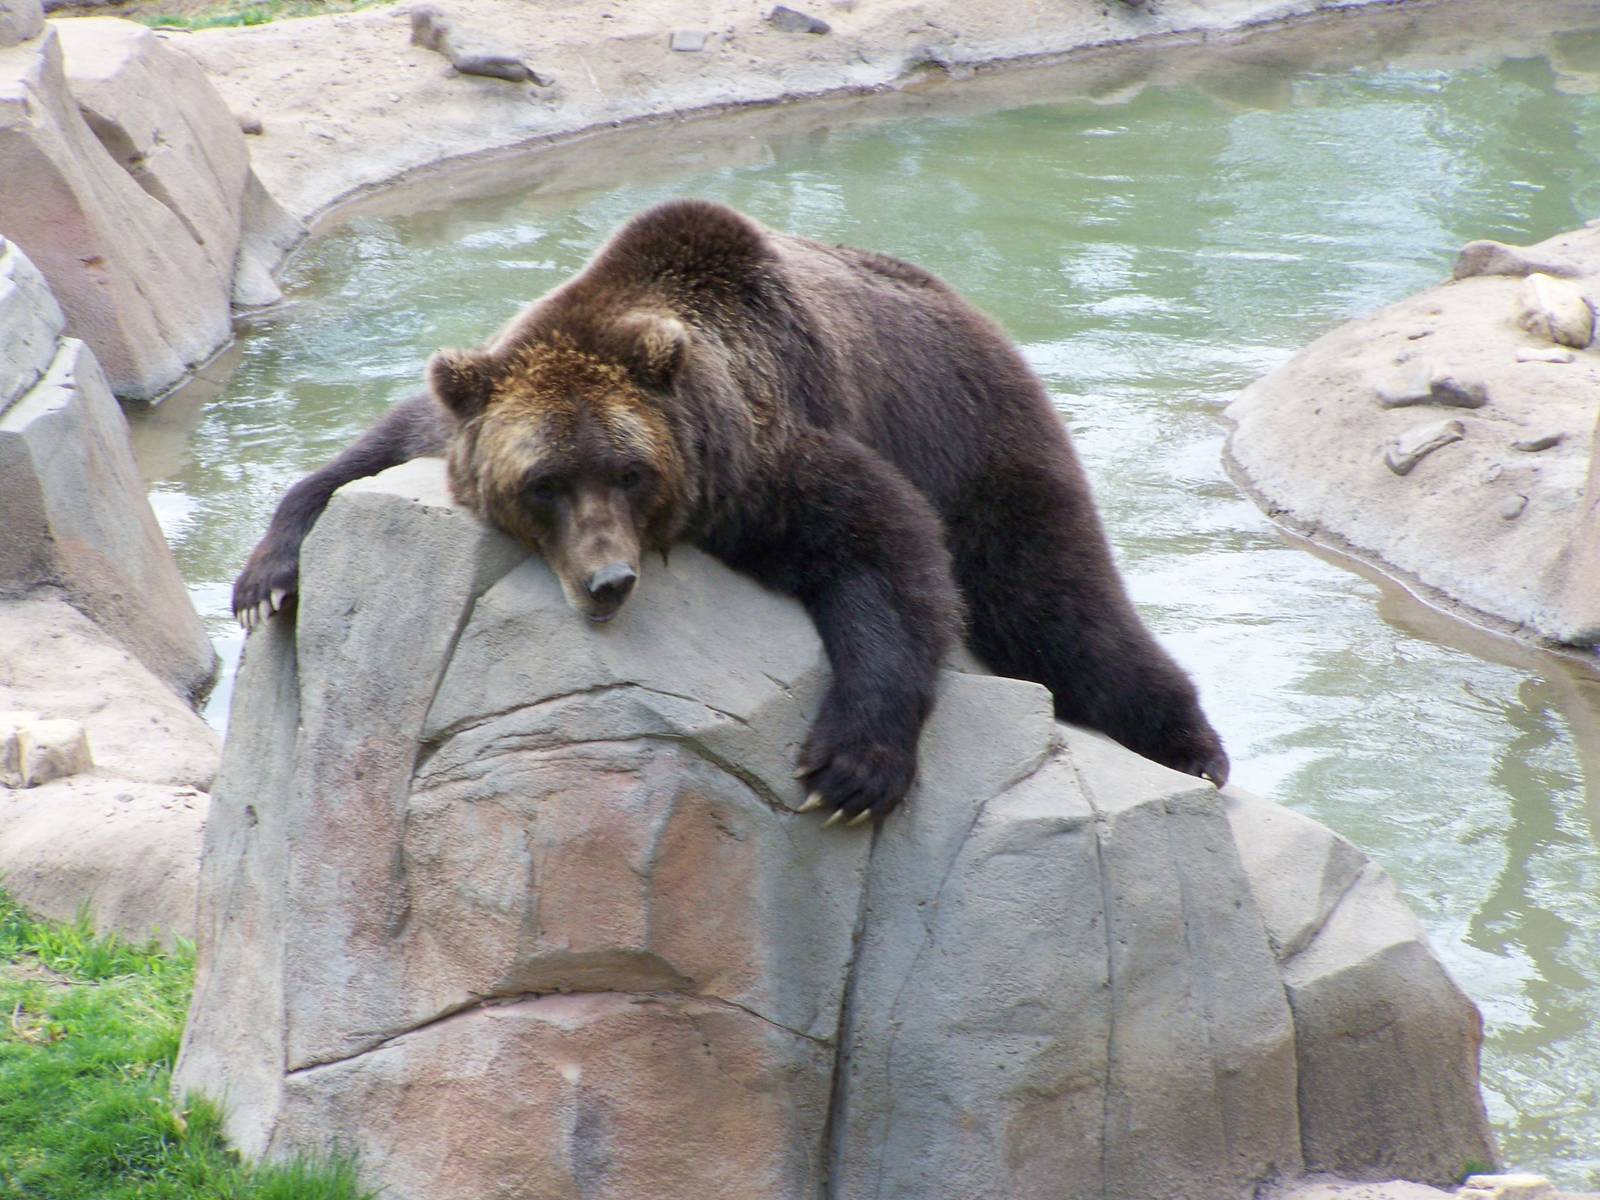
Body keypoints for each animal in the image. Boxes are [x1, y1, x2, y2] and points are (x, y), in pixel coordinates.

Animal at [233, 199, 1228, 824]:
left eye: (628, 472)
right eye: (544, 482)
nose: (608, 579)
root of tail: (973, 309)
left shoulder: (765, 459)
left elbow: (886, 551)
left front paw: (847, 769)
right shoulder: (475, 415)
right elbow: (376, 446)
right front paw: (267, 578)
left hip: (978, 438)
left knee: (1056, 602)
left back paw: (1191, 746)